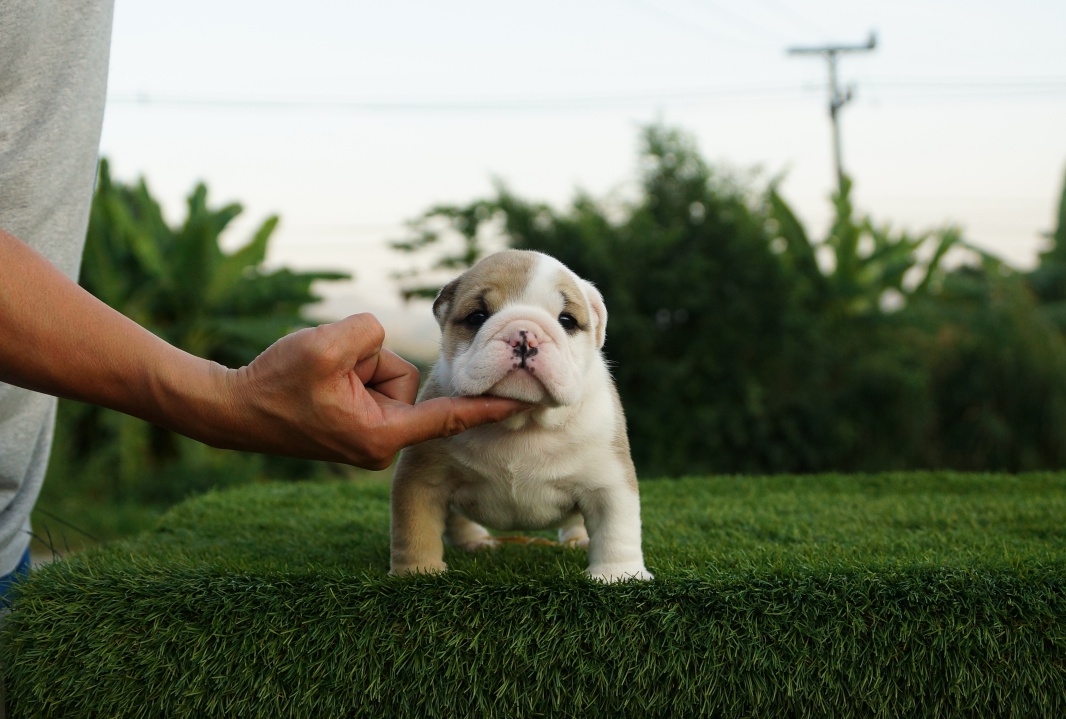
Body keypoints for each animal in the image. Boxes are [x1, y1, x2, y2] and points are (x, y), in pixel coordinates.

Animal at [389, 249, 652, 583]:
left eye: (567, 321)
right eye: (477, 317)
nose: (524, 335)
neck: (524, 422)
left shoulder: (607, 481)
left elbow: (616, 529)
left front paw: (619, 575)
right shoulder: (423, 479)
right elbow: (415, 528)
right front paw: (417, 572)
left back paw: (577, 540)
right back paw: (474, 541)